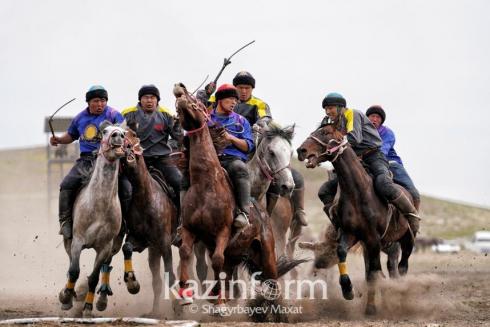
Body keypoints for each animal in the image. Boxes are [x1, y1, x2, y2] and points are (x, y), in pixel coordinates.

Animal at [57, 122, 127, 318]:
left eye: (124, 133)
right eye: (105, 131)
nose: (117, 136)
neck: (99, 204)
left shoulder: (104, 247)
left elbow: (94, 277)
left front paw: (88, 308)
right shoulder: (77, 242)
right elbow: (74, 271)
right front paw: (66, 297)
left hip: (114, 246)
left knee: (106, 267)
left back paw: (101, 299)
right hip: (68, 241)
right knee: (70, 266)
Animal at [118, 129, 178, 316]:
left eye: (131, 135)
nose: (125, 148)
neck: (146, 198)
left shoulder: (165, 242)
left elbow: (170, 273)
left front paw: (180, 304)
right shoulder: (142, 240)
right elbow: (127, 248)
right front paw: (132, 283)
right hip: (154, 250)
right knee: (156, 281)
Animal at [171, 84, 302, 318]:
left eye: (196, 104)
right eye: (271, 152)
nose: (180, 88)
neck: (207, 184)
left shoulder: (222, 232)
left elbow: (217, 262)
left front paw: (221, 305)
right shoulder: (190, 230)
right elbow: (189, 254)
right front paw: (187, 296)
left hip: (267, 251)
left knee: (271, 279)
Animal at [296, 124, 416, 316]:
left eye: (326, 132)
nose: (301, 150)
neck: (358, 193)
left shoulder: (373, 239)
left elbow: (373, 274)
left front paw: (371, 308)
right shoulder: (352, 234)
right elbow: (344, 255)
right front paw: (348, 290)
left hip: (406, 239)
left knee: (401, 266)